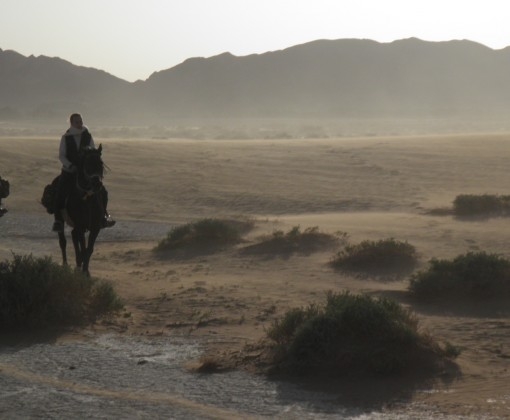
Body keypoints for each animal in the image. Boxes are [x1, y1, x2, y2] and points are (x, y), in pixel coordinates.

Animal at [57, 144, 106, 276]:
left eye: (101, 163)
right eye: (87, 164)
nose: (96, 184)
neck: (87, 199)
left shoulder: (95, 227)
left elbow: (89, 249)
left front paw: (86, 271)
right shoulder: (80, 226)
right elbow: (83, 248)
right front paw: (83, 271)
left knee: (73, 236)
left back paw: (78, 264)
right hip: (59, 218)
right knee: (63, 241)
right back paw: (65, 265)